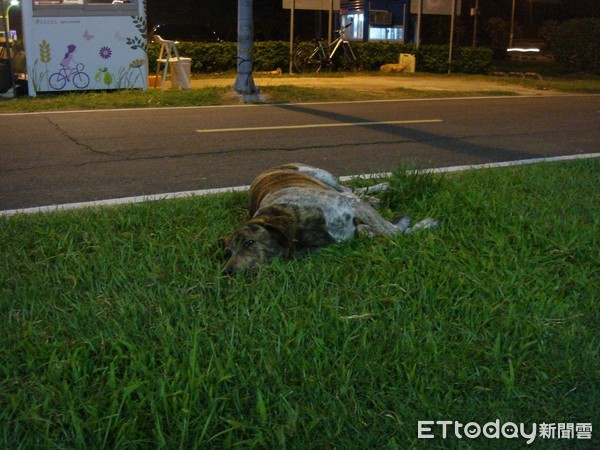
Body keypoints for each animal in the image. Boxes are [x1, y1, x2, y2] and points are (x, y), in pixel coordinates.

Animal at [218, 163, 438, 272]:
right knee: (353, 191)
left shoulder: (349, 204)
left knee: (348, 188)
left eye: (249, 242)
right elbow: (369, 230)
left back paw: (380, 188)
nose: (227, 271)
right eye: (227, 254)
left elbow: (392, 231)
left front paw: (418, 224)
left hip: (323, 176)